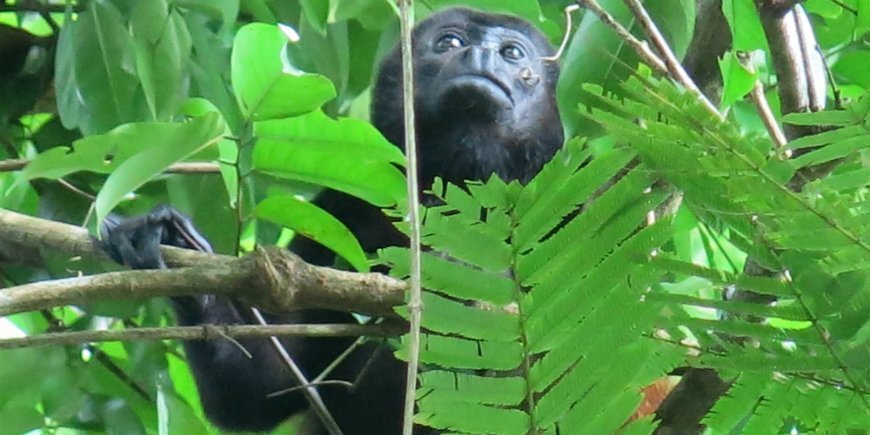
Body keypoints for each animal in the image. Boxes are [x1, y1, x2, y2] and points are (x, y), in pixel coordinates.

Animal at [102, 8, 563, 434]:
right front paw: (170, 240)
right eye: (449, 42)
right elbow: (264, 390)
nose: (480, 54)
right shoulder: (341, 208)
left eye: (512, 53)